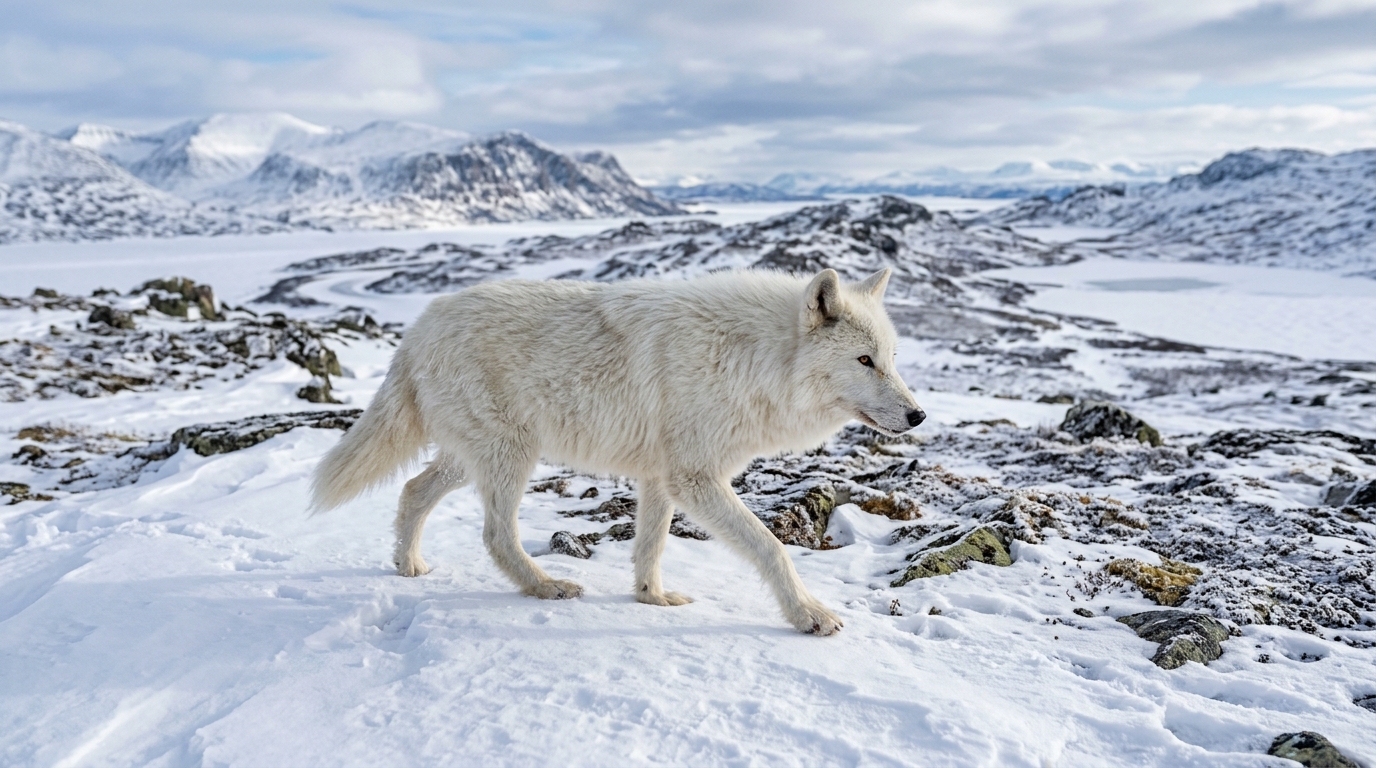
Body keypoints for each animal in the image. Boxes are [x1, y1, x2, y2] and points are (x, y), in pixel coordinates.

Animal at [311, 267, 924, 634]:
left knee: (413, 491)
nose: (919, 415)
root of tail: (416, 330)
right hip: (513, 457)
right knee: (494, 534)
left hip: (474, 460)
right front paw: (809, 615)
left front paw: (652, 600)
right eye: (864, 361)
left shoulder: (660, 479)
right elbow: (772, 548)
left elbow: (650, 547)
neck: (754, 360)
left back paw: (409, 566)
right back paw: (545, 587)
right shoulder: (695, 479)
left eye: (892, 359)